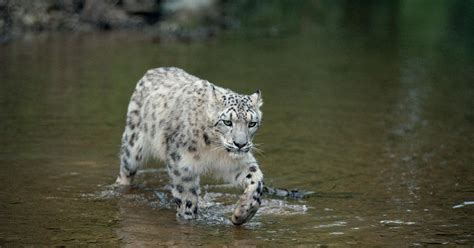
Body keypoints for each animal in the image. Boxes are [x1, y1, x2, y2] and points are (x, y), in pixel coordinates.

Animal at [114, 67, 262, 225]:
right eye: (227, 122)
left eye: (252, 123)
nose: (240, 144)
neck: (213, 148)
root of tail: (154, 70)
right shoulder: (182, 165)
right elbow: (186, 198)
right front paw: (188, 217)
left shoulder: (234, 163)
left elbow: (256, 179)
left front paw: (242, 214)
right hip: (133, 147)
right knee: (125, 171)